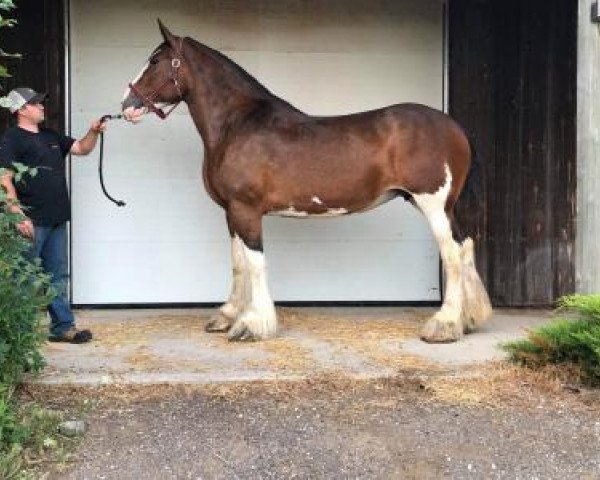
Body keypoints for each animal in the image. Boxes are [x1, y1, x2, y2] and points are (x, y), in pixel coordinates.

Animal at [119, 18, 490, 342]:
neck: (237, 124)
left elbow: (255, 263)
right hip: (441, 207)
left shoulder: (246, 210)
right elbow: (238, 263)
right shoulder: (231, 212)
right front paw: (227, 316)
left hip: (432, 204)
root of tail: (455, 128)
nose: (127, 104)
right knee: (464, 246)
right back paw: (469, 319)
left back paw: (443, 325)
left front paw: (252, 325)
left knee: (452, 255)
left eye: (156, 61)